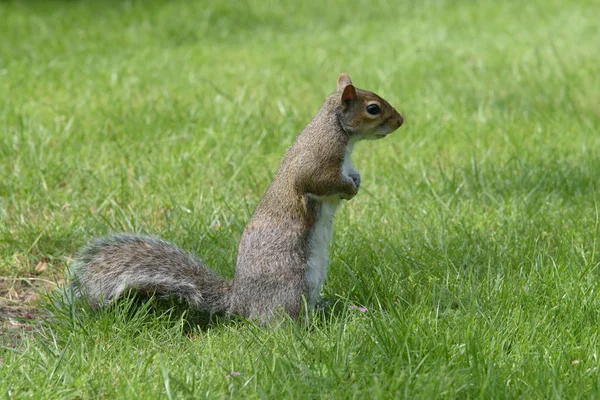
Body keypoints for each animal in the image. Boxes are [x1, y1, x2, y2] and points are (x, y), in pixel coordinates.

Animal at [69, 73, 404, 324]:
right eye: (373, 108)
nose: (401, 120)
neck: (336, 130)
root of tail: (239, 301)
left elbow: (352, 174)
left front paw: (356, 182)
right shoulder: (316, 163)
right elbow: (319, 182)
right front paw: (348, 189)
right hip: (292, 284)